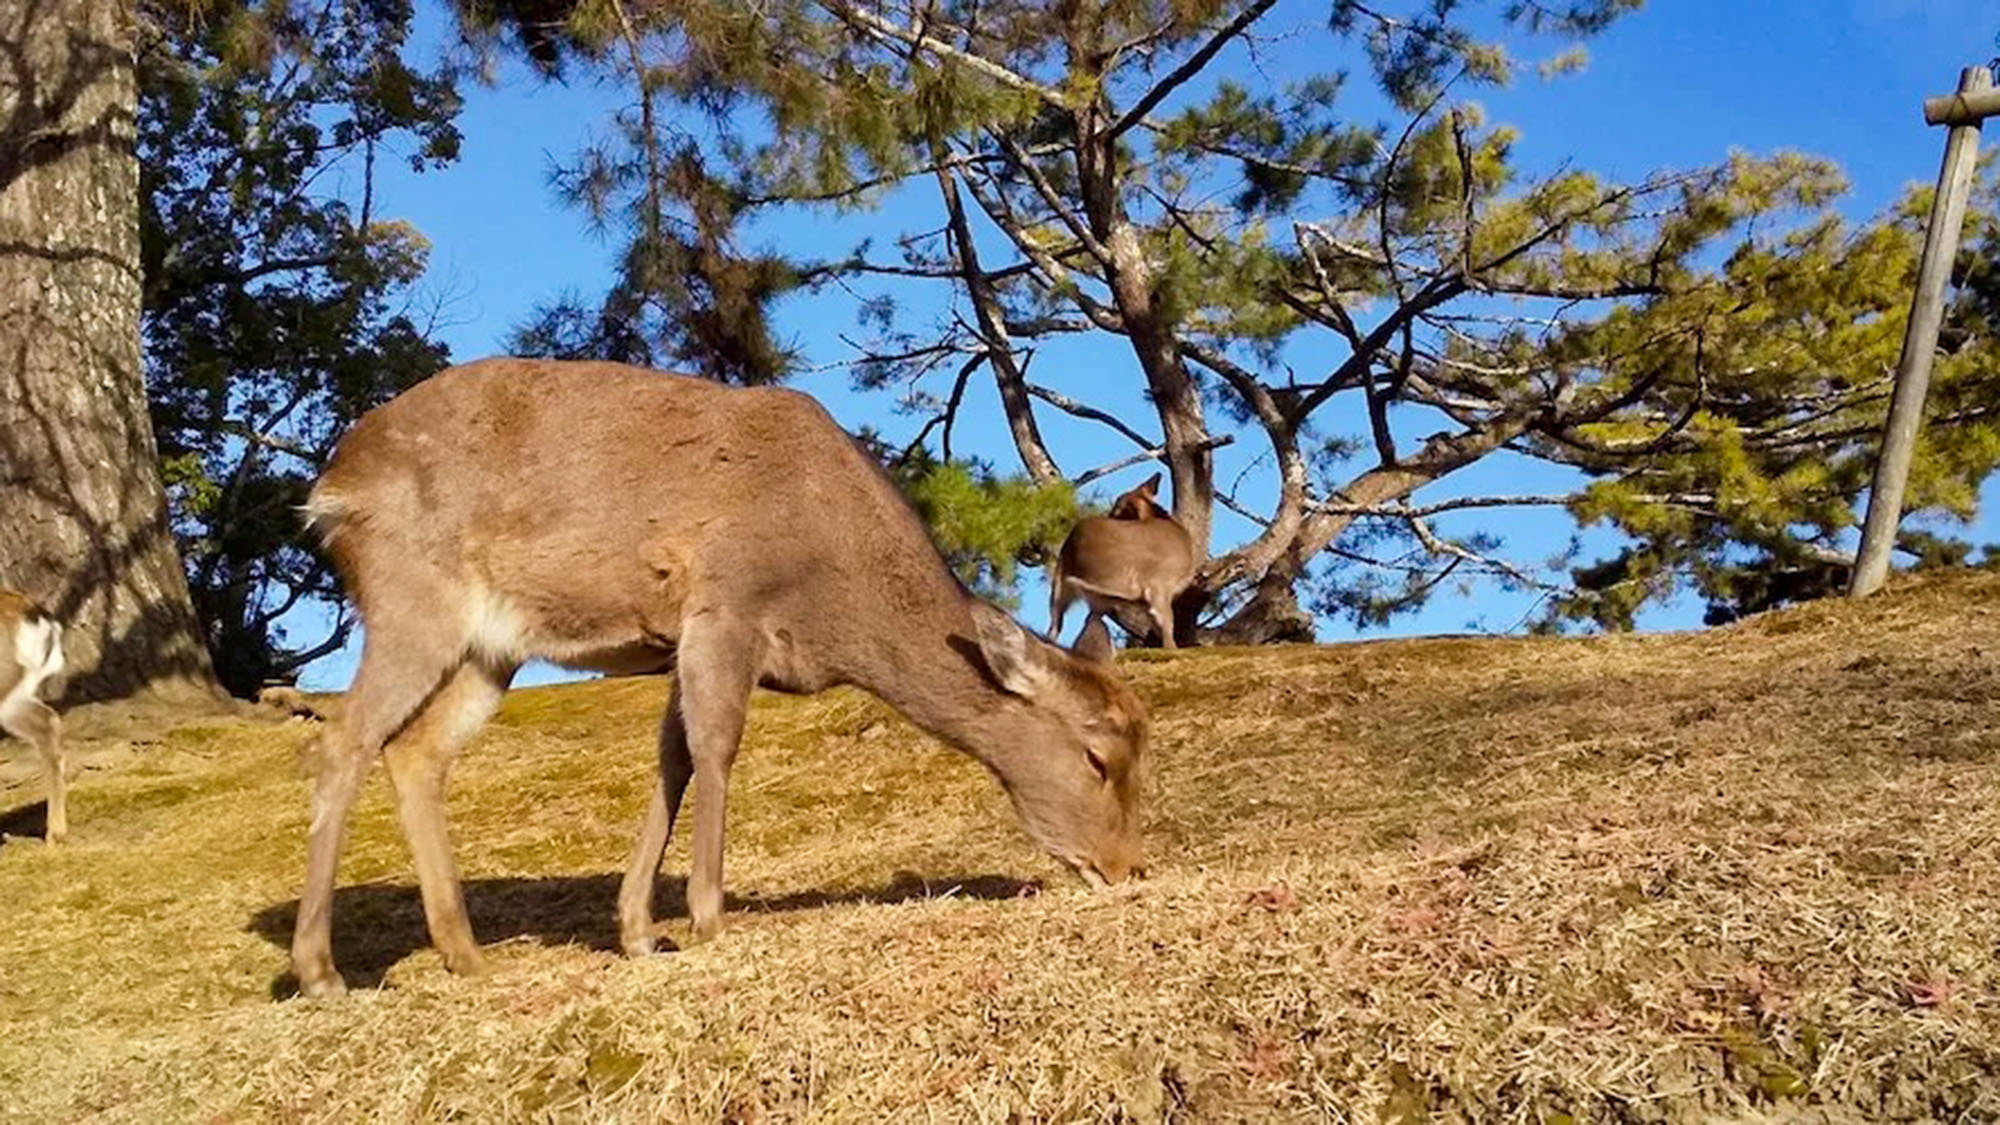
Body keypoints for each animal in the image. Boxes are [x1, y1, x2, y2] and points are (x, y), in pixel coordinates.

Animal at [290, 354, 1152, 992]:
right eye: (1096, 757)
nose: (1125, 867)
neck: (834, 604)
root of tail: (327, 492)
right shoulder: (725, 606)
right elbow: (716, 746)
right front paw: (708, 916)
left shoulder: (682, 641)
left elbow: (671, 757)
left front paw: (639, 929)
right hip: (411, 596)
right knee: (344, 735)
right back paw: (320, 968)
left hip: (490, 649)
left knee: (415, 750)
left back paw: (465, 953)